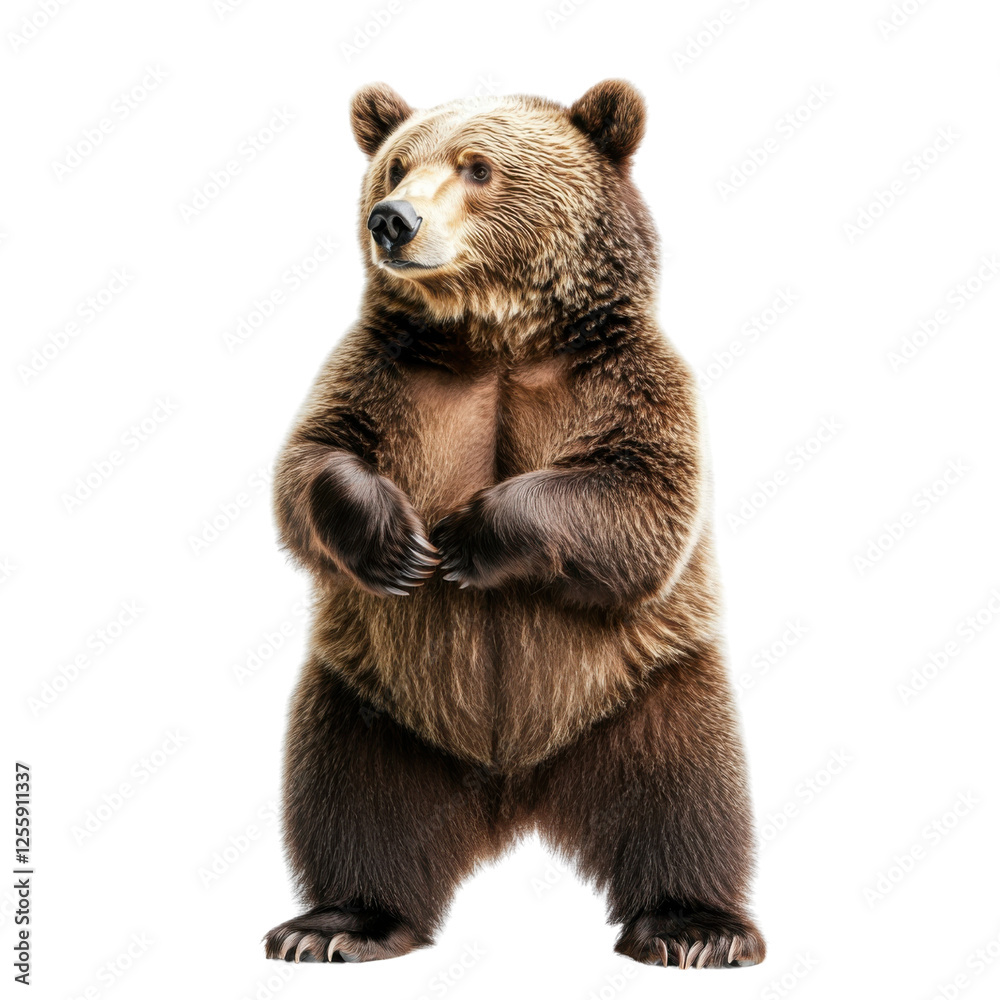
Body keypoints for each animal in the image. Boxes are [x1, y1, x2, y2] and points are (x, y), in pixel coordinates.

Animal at [263, 79, 765, 971]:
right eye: (398, 163)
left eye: (478, 167)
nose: (391, 219)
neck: (494, 337)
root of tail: (513, 789)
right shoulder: (383, 373)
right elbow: (311, 463)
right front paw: (398, 543)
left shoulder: (628, 380)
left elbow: (642, 501)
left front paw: (467, 536)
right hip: (374, 704)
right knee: (350, 801)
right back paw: (335, 923)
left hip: (646, 692)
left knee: (689, 794)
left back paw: (693, 928)